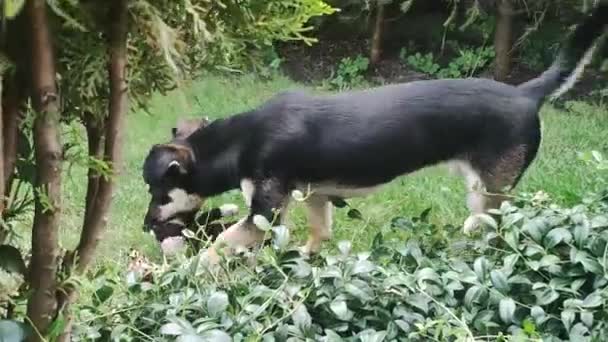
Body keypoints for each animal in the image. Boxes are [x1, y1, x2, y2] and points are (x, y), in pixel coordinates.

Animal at [144, 5, 608, 266]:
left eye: (160, 193)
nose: (148, 225)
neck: (238, 142)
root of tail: (527, 93)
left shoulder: (264, 214)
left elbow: (219, 244)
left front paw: (184, 275)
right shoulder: (314, 195)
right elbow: (319, 235)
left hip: (488, 193)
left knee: (496, 227)